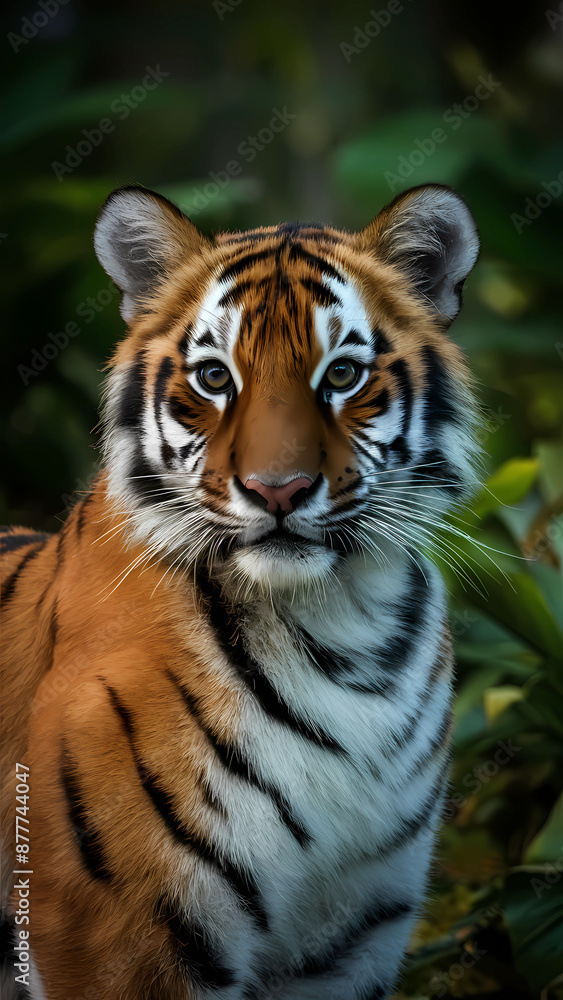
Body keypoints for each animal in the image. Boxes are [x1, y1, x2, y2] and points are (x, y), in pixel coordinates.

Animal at [0, 181, 480, 1000]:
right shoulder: (117, 942)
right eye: (216, 377)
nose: (276, 489)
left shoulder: (345, 943)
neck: (342, 628)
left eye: (341, 376)